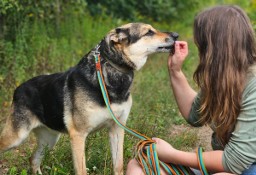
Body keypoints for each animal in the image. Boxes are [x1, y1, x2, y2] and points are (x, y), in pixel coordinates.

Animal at [0, 22, 178, 174]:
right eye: (149, 32)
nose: (176, 35)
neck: (111, 73)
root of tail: (18, 89)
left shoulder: (117, 129)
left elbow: (118, 165)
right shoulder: (78, 136)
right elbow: (81, 170)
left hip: (49, 139)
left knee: (34, 159)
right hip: (17, 137)